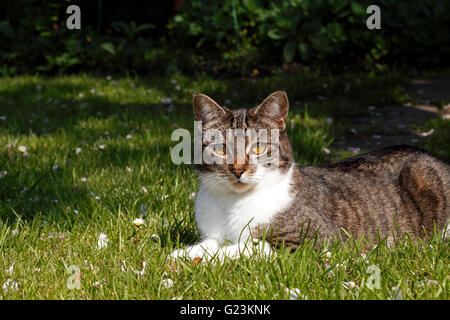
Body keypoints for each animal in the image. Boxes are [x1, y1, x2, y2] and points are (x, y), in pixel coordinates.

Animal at [170, 91, 450, 262]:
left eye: (258, 147)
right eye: (221, 149)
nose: (237, 170)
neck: (232, 203)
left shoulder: (313, 240)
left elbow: (247, 246)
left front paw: (213, 258)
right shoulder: (212, 234)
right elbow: (206, 246)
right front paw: (181, 255)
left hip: (421, 173)